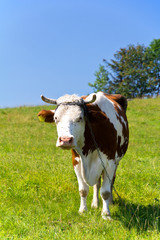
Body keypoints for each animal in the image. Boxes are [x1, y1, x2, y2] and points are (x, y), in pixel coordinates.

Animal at [37, 91, 129, 219]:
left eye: (80, 118)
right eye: (56, 118)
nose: (65, 140)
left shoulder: (110, 162)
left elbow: (105, 191)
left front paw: (106, 214)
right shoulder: (76, 161)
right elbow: (83, 189)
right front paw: (83, 210)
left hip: (116, 161)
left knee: (110, 181)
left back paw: (109, 202)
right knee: (97, 183)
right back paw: (95, 203)